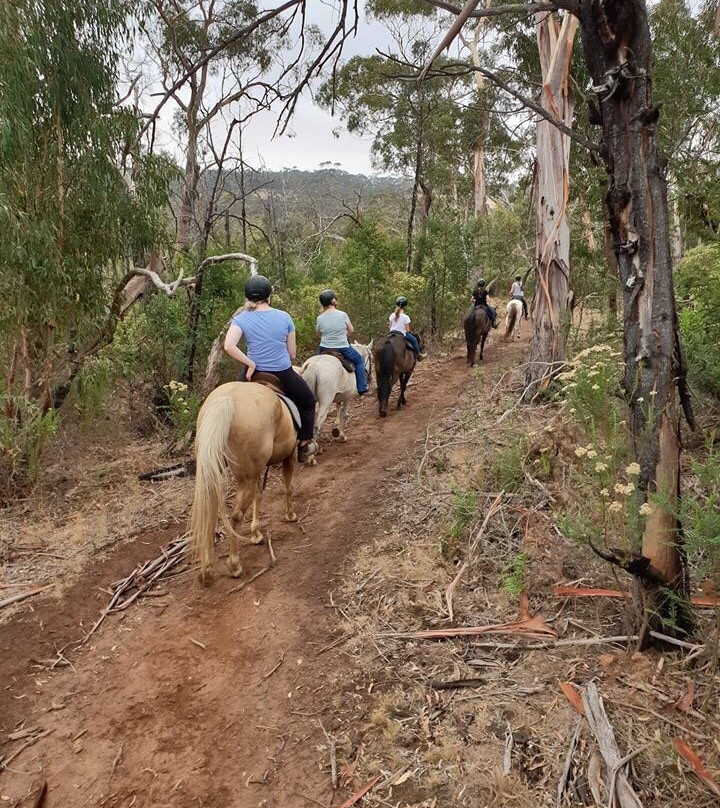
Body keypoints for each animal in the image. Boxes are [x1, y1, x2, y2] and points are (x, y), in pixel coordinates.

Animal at [190, 382, 300, 584]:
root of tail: (227, 399)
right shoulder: (289, 455)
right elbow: (288, 486)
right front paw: (290, 515)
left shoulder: (258, 471)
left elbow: (259, 495)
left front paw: (256, 534)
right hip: (246, 477)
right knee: (236, 515)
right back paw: (234, 566)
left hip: (215, 471)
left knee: (210, 513)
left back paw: (207, 570)